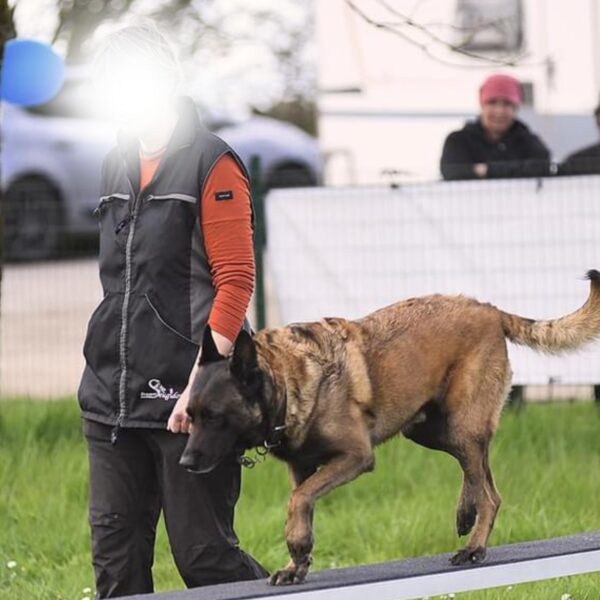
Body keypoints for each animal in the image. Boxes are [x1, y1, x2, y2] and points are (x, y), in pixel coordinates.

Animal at [180, 272, 600, 584]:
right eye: (192, 416)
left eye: (215, 416)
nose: (184, 463)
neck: (288, 379)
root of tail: (488, 310)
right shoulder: (302, 468)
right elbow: (302, 500)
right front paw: (296, 563)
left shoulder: (355, 456)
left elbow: (299, 499)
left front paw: (297, 546)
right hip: (431, 430)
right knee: (478, 472)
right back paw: (465, 513)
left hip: (460, 424)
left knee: (490, 492)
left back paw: (474, 546)